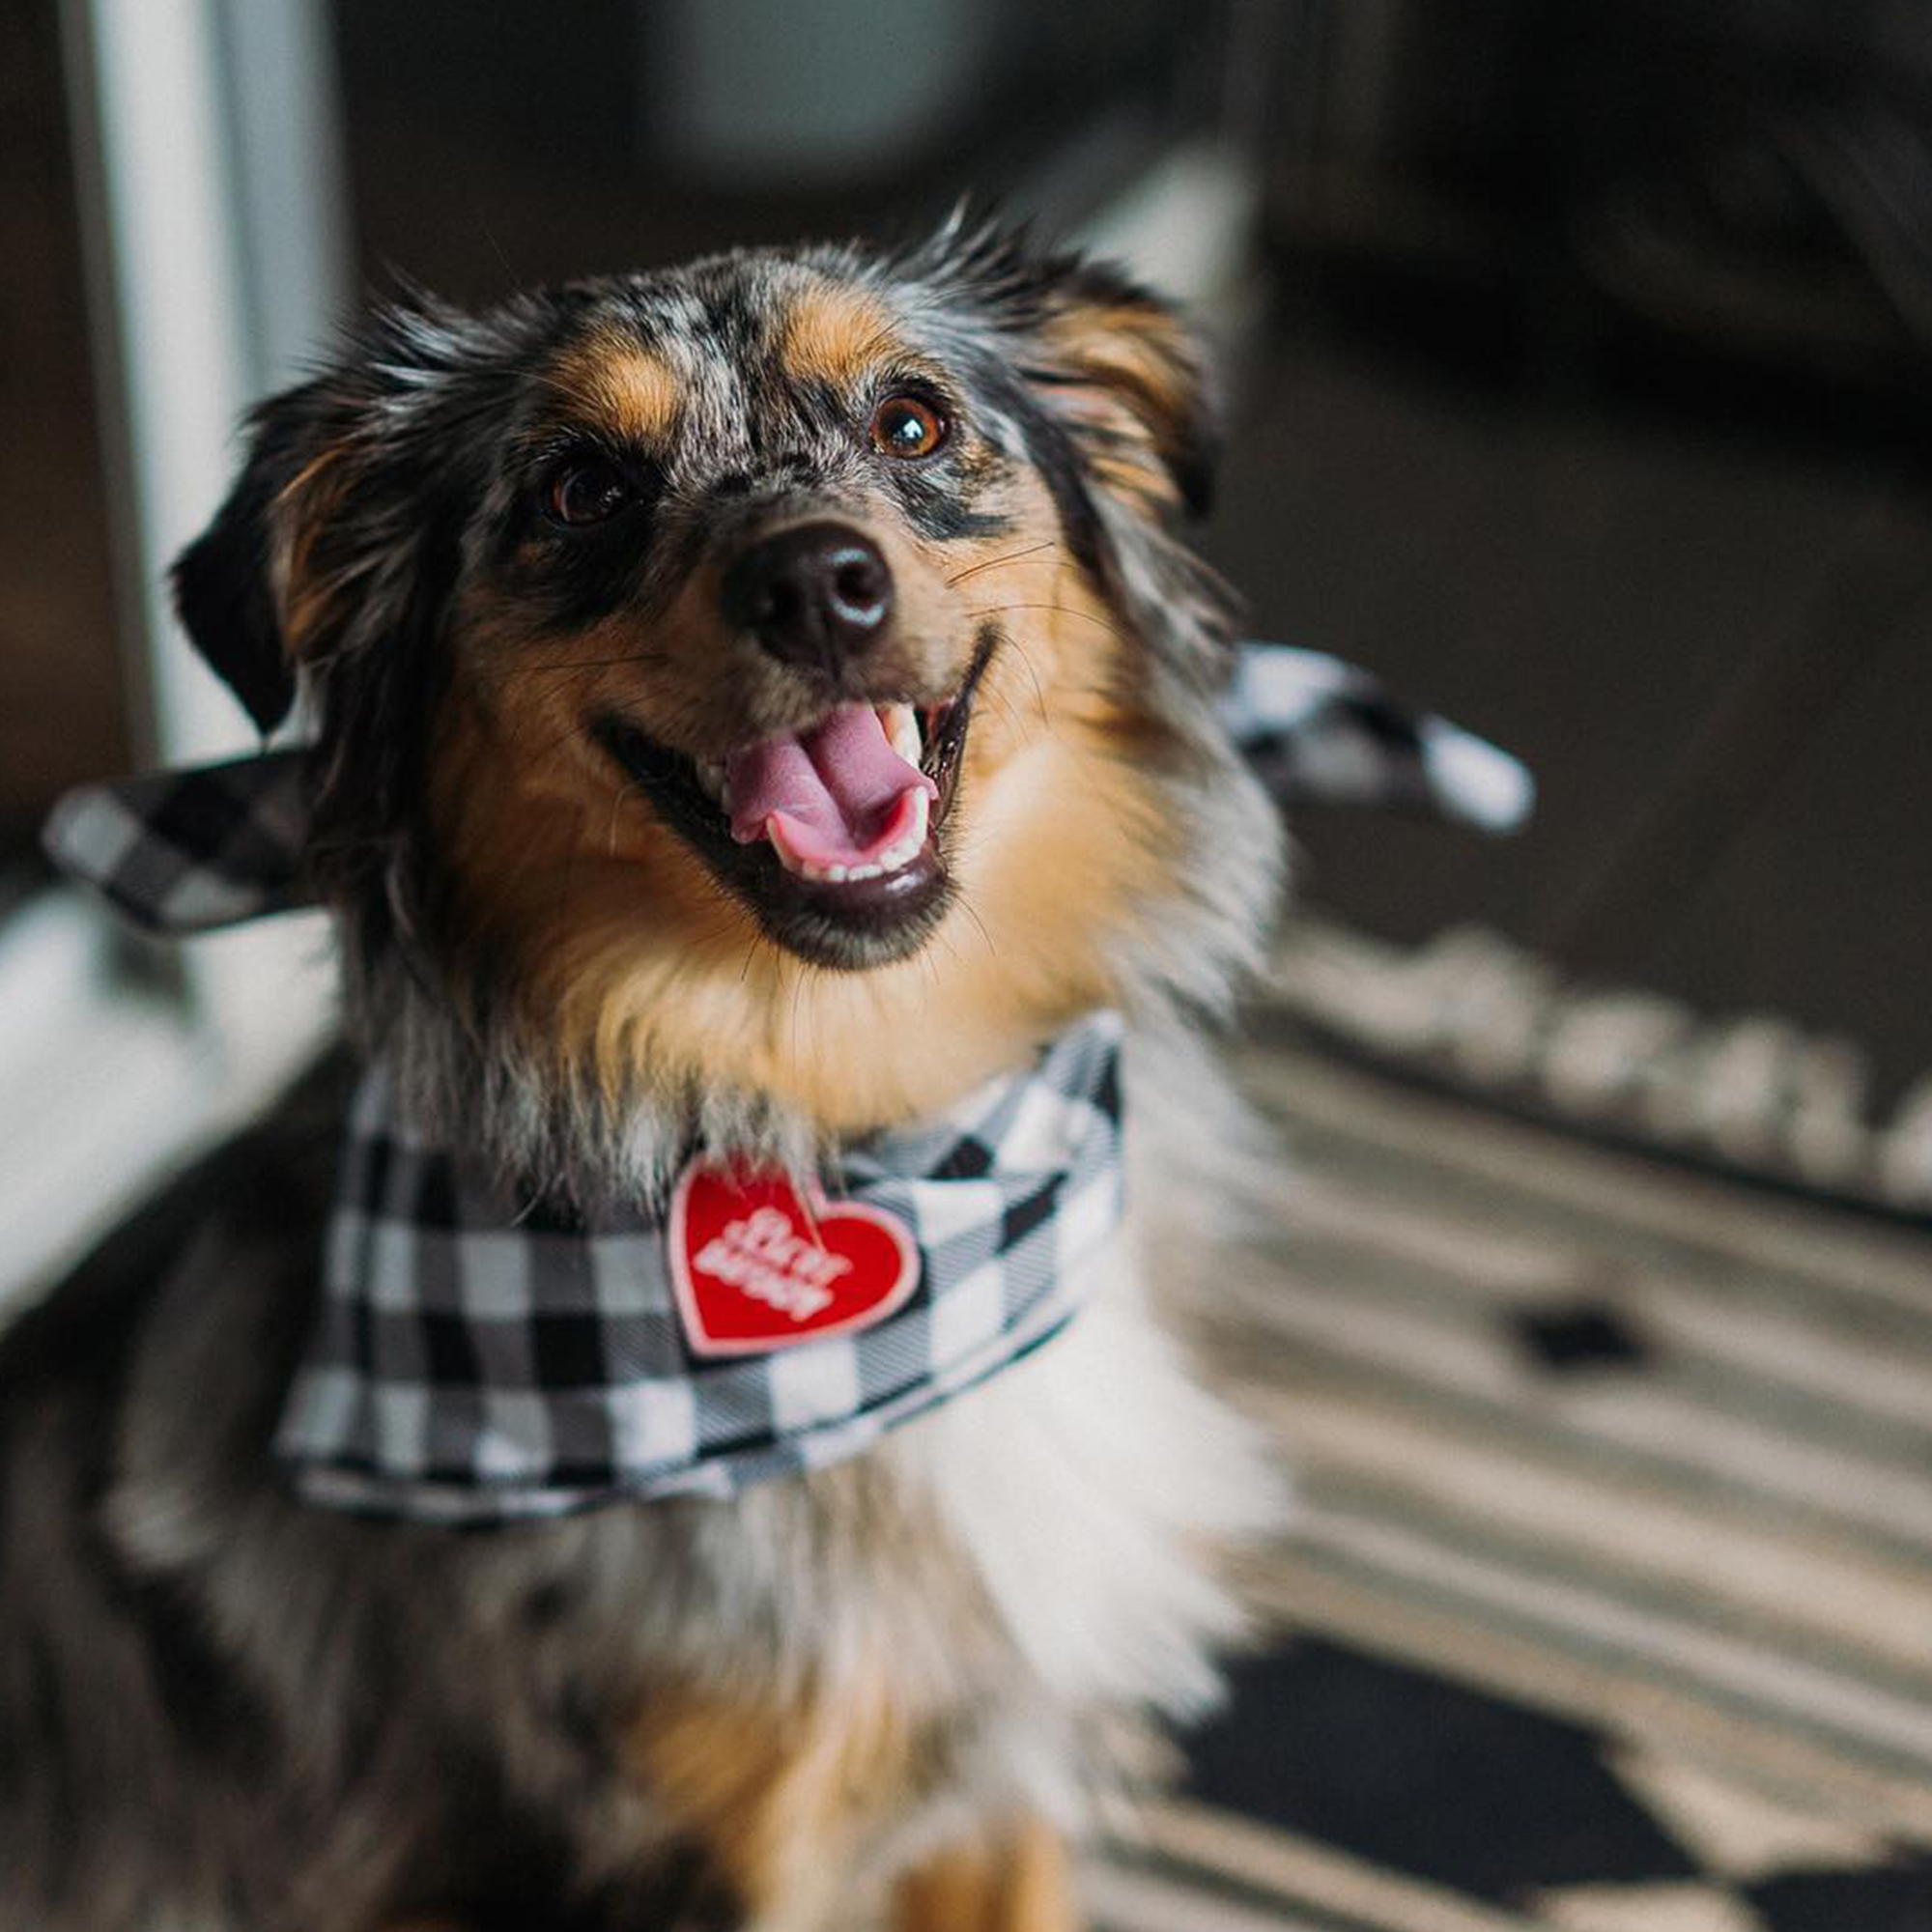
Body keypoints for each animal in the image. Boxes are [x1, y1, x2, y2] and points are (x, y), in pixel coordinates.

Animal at [3, 219, 1298, 1924]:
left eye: (912, 422)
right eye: (580, 489)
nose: (816, 583)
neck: (857, 1139)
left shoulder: (991, 1783)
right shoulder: (680, 1854)